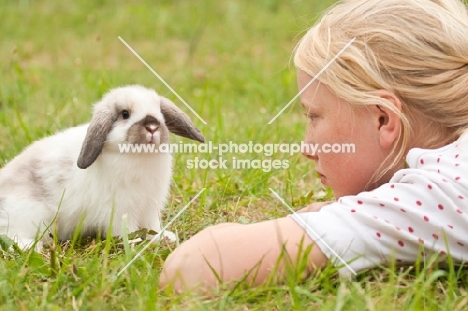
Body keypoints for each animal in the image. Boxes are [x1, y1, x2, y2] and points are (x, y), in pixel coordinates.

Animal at [0, 85, 204, 251]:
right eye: (125, 114)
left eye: (159, 111)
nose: (153, 126)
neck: (138, 155)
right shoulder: (120, 211)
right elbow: (126, 230)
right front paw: (134, 244)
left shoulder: (149, 209)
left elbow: (153, 227)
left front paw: (163, 238)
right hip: (30, 216)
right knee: (11, 234)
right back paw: (30, 247)